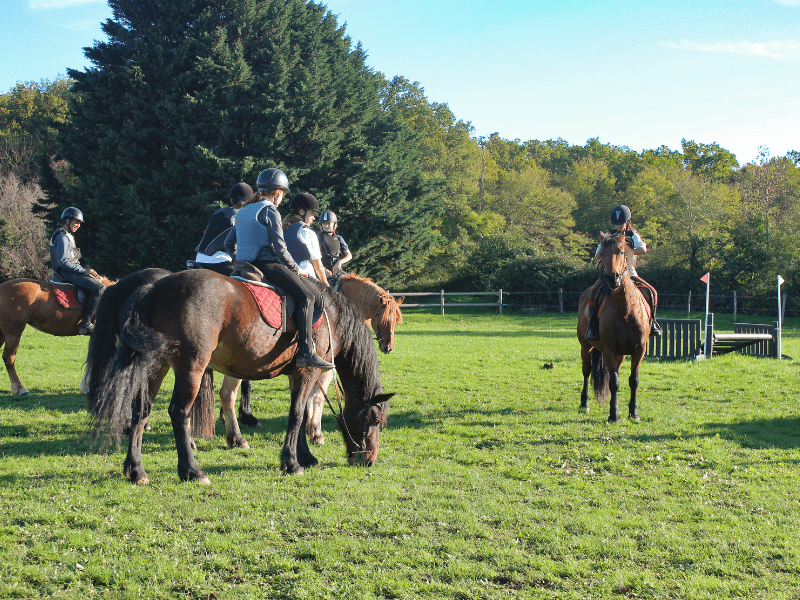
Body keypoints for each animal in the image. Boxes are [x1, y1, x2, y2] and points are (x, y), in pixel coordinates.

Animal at [86, 268, 392, 482]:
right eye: (375, 419)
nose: (369, 460)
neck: (331, 314)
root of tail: (153, 288)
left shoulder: (298, 374)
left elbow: (300, 410)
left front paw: (304, 455)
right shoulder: (308, 369)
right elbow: (297, 414)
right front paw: (292, 462)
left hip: (157, 364)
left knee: (141, 409)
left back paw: (136, 469)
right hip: (192, 365)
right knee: (179, 411)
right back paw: (191, 470)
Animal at [576, 232, 648, 424]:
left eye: (622, 252)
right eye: (601, 254)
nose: (612, 278)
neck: (625, 310)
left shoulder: (639, 350)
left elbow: (633, 380)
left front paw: (633, 413)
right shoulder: (609, 349)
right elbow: (614, 382)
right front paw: (614, 414)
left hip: (621, 354)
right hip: (586, 346)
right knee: (587, 371)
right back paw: (584, 404)